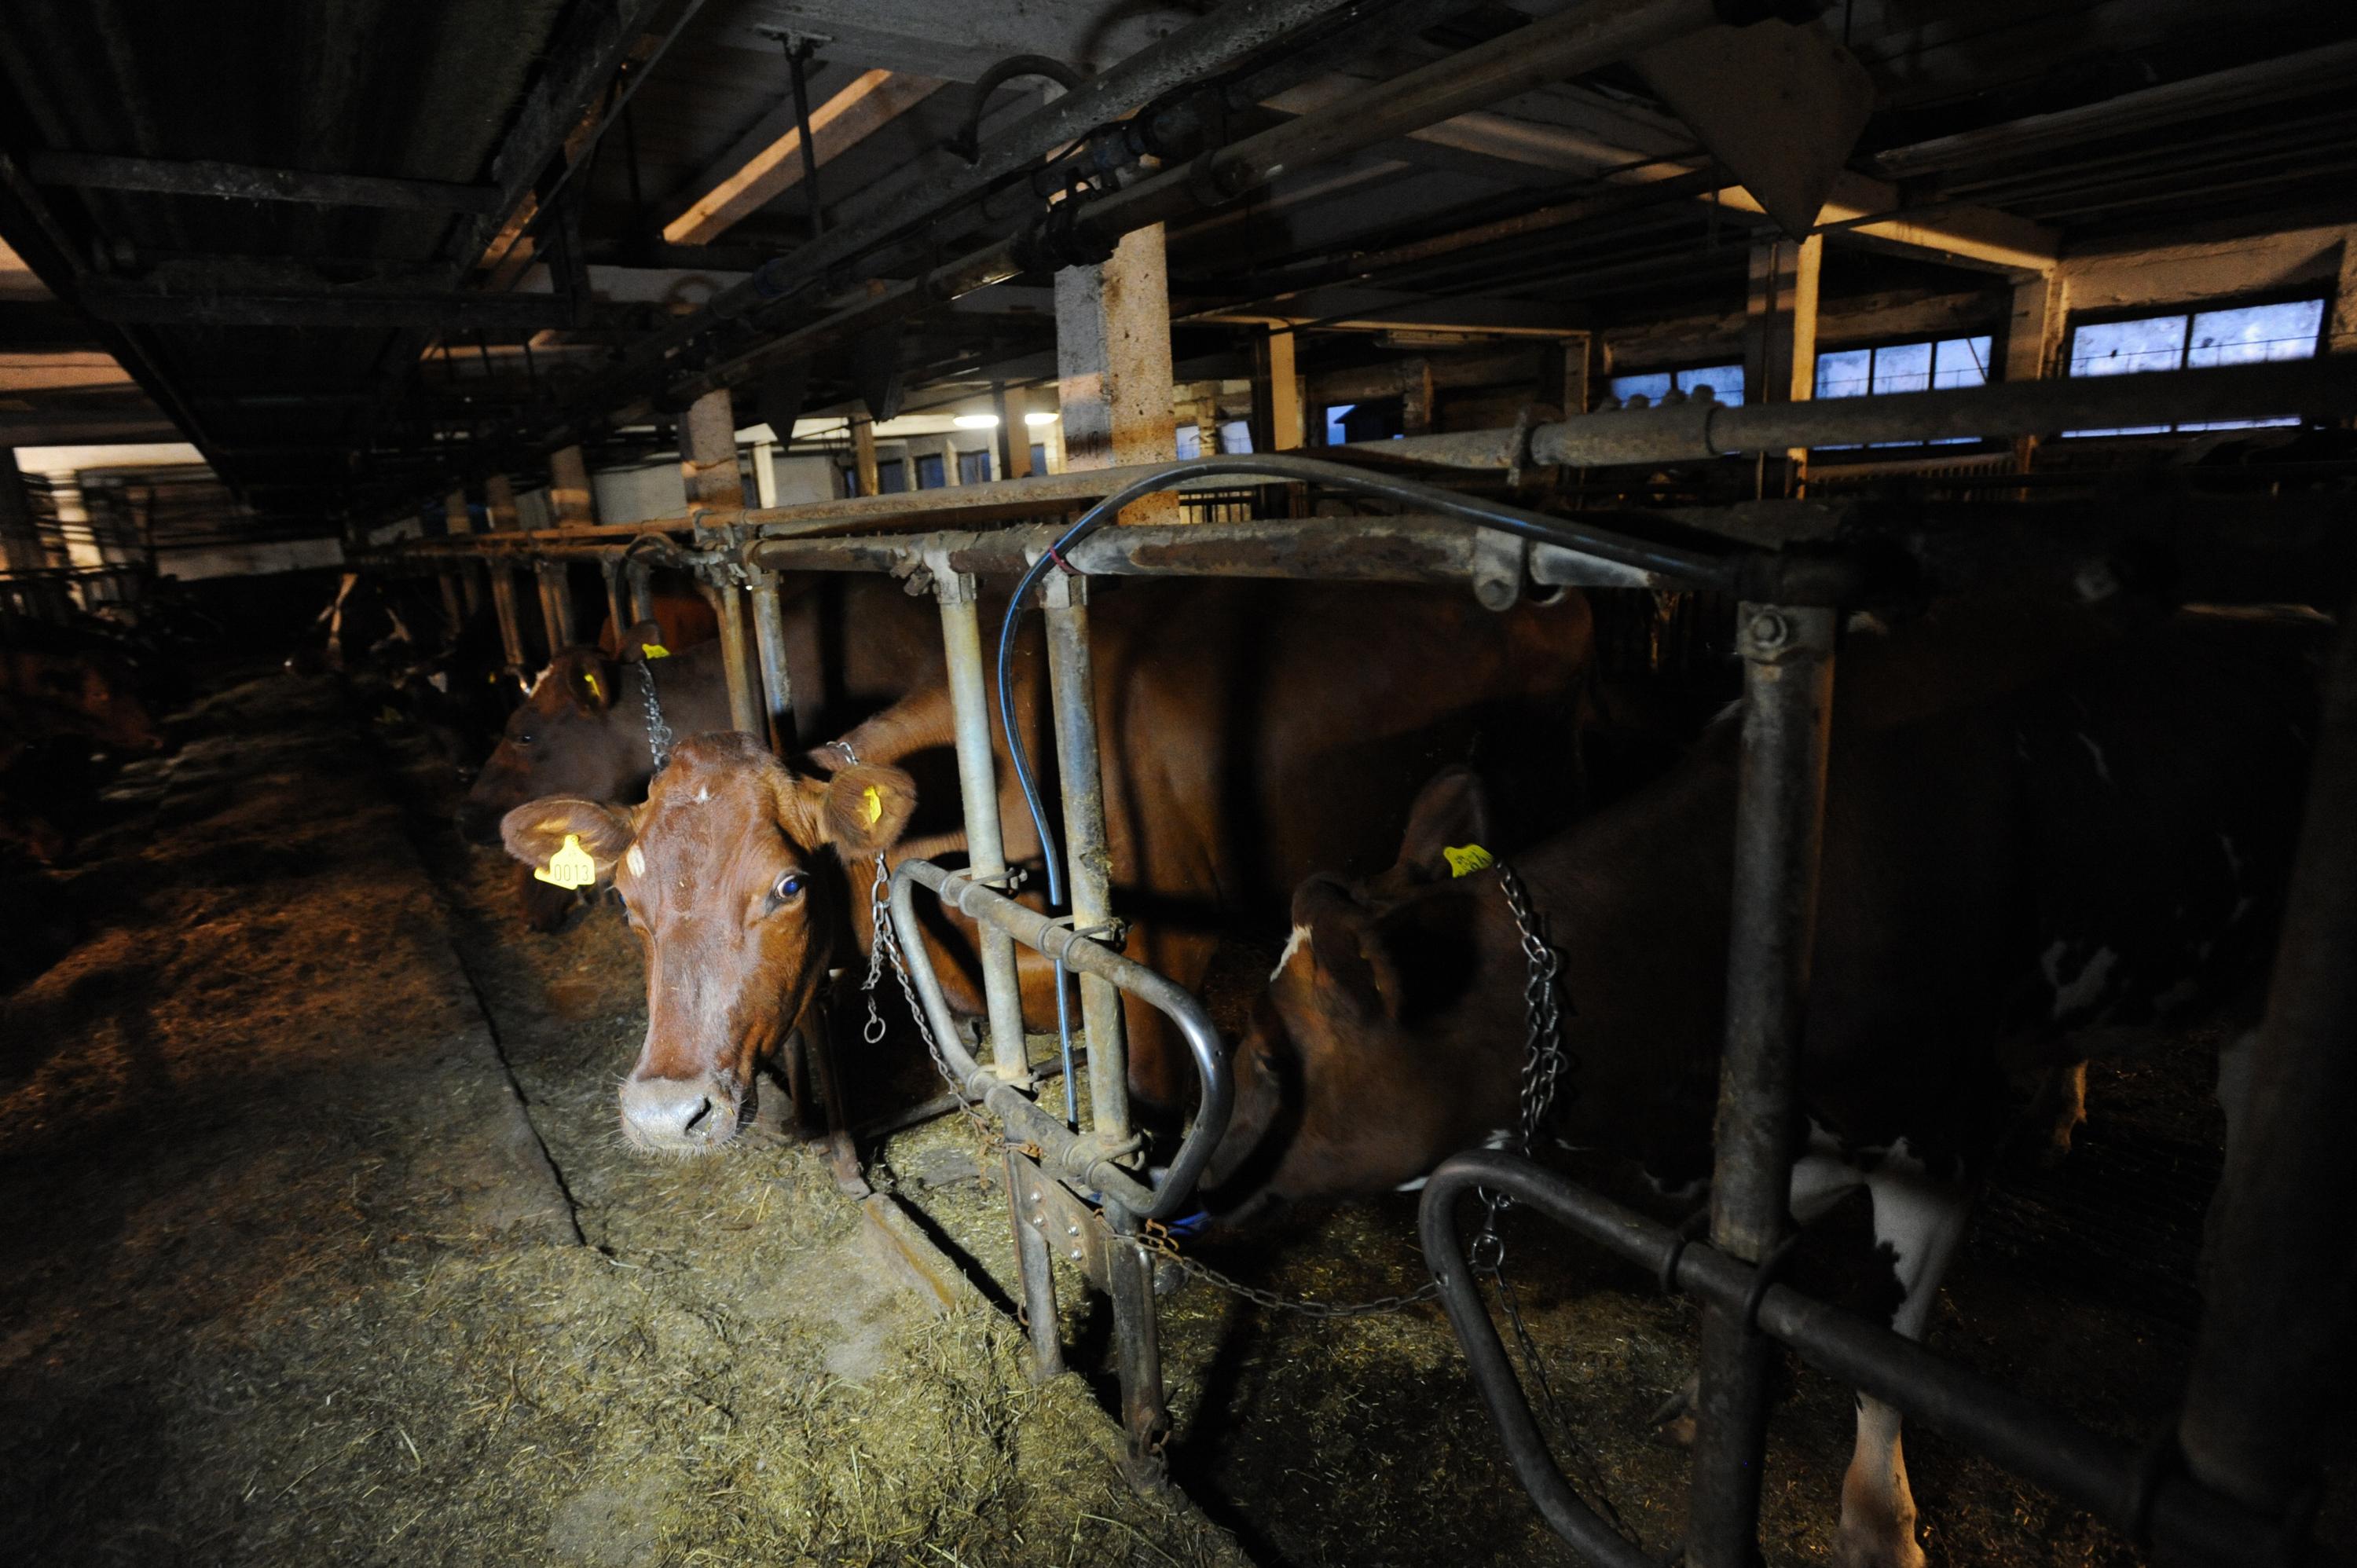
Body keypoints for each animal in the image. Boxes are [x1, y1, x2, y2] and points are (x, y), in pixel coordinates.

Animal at [1195, 605, 2315, 1568]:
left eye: (1267, 1058)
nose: (1191, 1176)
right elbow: (1738, 1263)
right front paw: (1713, 1389)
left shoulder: (1939, 1133)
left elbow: (1877, 1343)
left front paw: (1878, 1524)